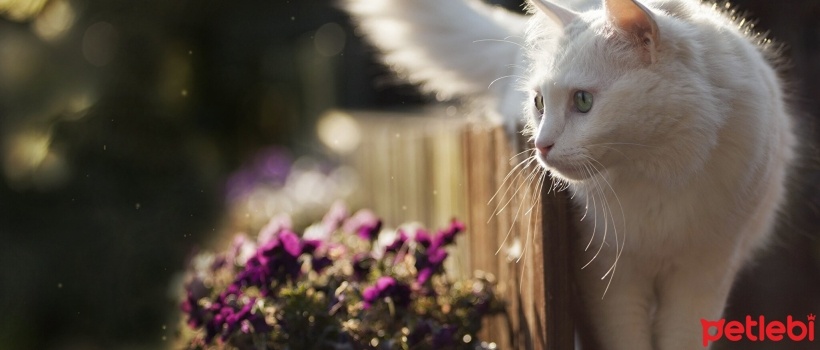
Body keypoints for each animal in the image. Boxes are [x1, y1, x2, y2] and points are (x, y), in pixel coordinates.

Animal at [340, 0, 796, 350]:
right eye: (539, 103)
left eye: (583, 101)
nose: (541, 145)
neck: (658, 169)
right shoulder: (608, 279)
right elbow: (626, 340)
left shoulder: (703, 274)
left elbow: (681, 338)